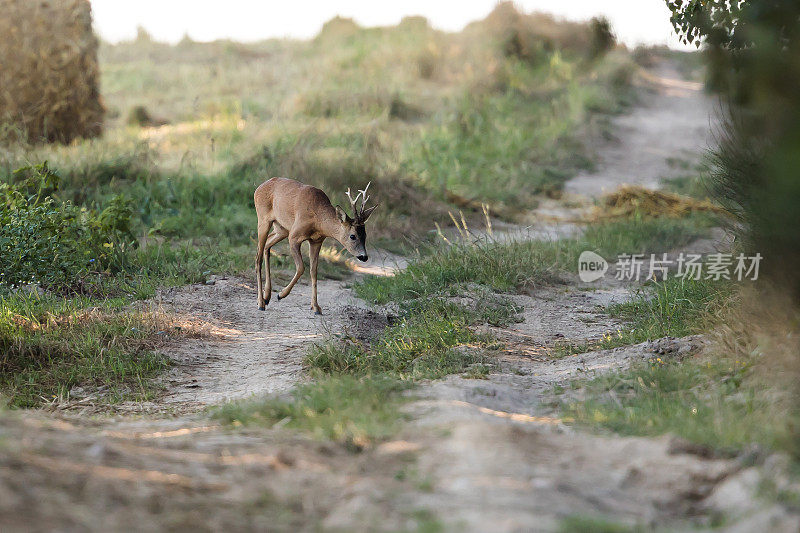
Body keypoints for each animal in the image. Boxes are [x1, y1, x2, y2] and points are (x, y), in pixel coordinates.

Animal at [255, 177, 376, 314]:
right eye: (352, 236)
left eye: (365, 235)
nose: (364, 256)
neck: (318, 220)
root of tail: (259, 188)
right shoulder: (294, 236)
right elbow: (301, 267)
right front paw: (281, 294)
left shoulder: (317, 241)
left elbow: (314, 271)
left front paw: (316, 307)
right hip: (263, 219)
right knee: (258, 257)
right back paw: (261, 303)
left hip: (281, 228)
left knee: (267, 245)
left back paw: (267, 297)